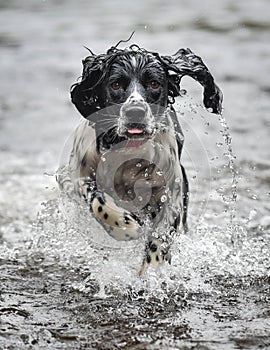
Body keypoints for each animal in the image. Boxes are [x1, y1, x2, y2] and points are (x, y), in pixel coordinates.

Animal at [56, 41, 221, 276]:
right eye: (116, 84)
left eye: (154, 83)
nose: (135, 112)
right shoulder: (75, 177)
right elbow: (98, 199)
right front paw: (125, 227)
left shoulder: (171, 196)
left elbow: (159, 241)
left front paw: (150, 276)